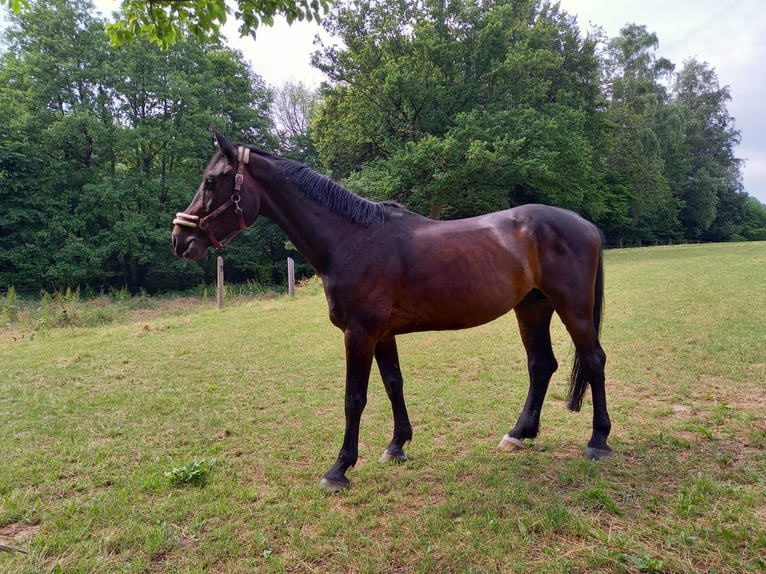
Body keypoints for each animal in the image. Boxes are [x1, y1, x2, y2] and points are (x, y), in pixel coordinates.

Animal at [171, 129, 616, 490]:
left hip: (572, 309)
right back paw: (519, 433)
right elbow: (393, 384)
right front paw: (397, 445)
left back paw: (598, 441)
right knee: (541, 365)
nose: (179, 238)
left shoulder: (360, 333)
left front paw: (339, 469)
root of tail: (584, 224)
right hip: (532, 309)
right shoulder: (382, 334)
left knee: (594, 359)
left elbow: (354, 397)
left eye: (211, 181)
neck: (353, 240)